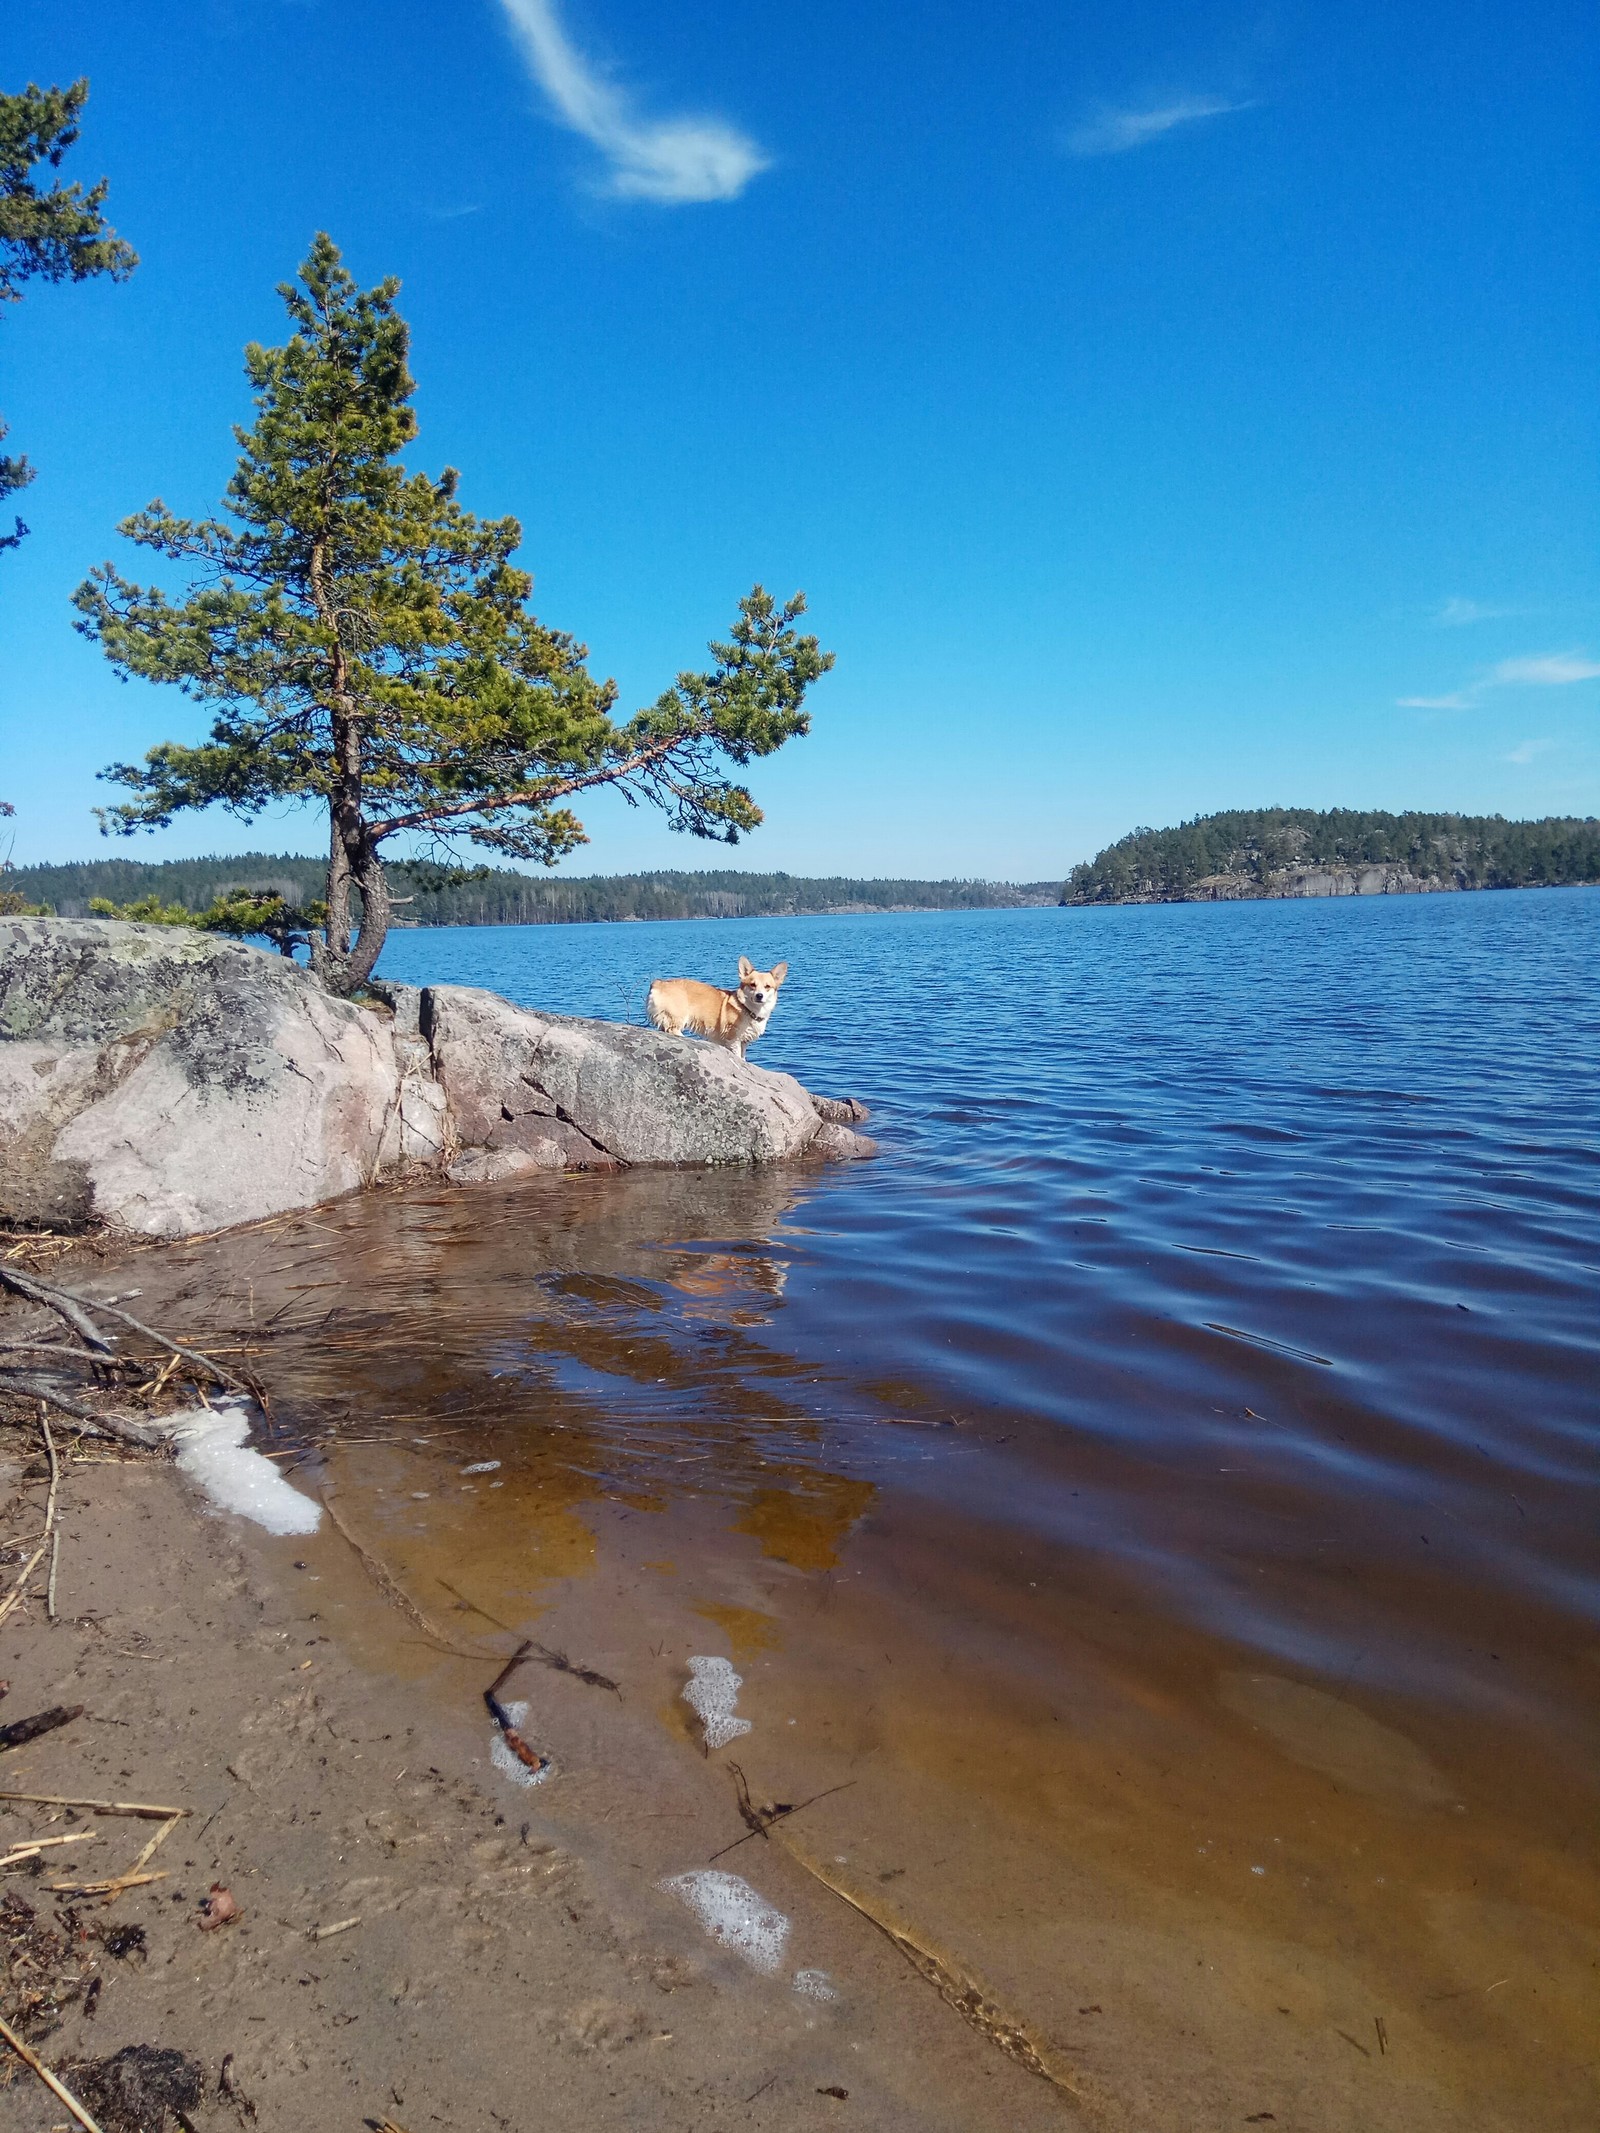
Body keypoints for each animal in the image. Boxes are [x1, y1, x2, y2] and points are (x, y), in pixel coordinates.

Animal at [648, 964, 793, 1062]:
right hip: (679, 1015)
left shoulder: (744, 1042)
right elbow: (737, 1055)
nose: (759, 995)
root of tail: (658, 983)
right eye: (752, 985)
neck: (748, 1009)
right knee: (672, 1029)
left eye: (767, 987)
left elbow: (743, 1057)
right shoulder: (733, 1039)